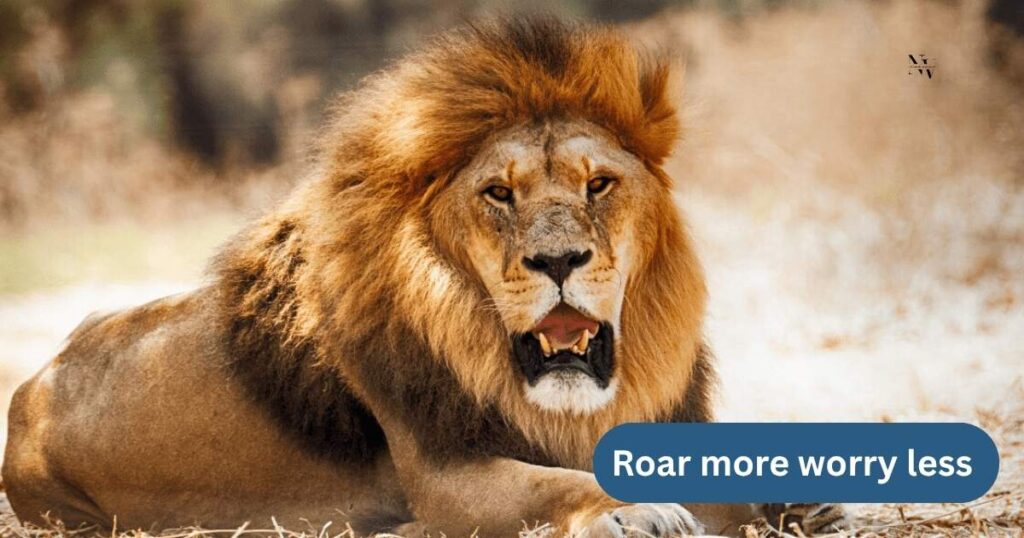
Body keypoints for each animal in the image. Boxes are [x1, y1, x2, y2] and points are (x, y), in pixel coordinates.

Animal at [2, 19, 846, 537]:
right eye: (498, 193)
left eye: (598, 184)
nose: (559, 262)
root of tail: (33, 386)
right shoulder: (443, 474)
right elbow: (553, 481)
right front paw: (635, 507)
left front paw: (805, 499)